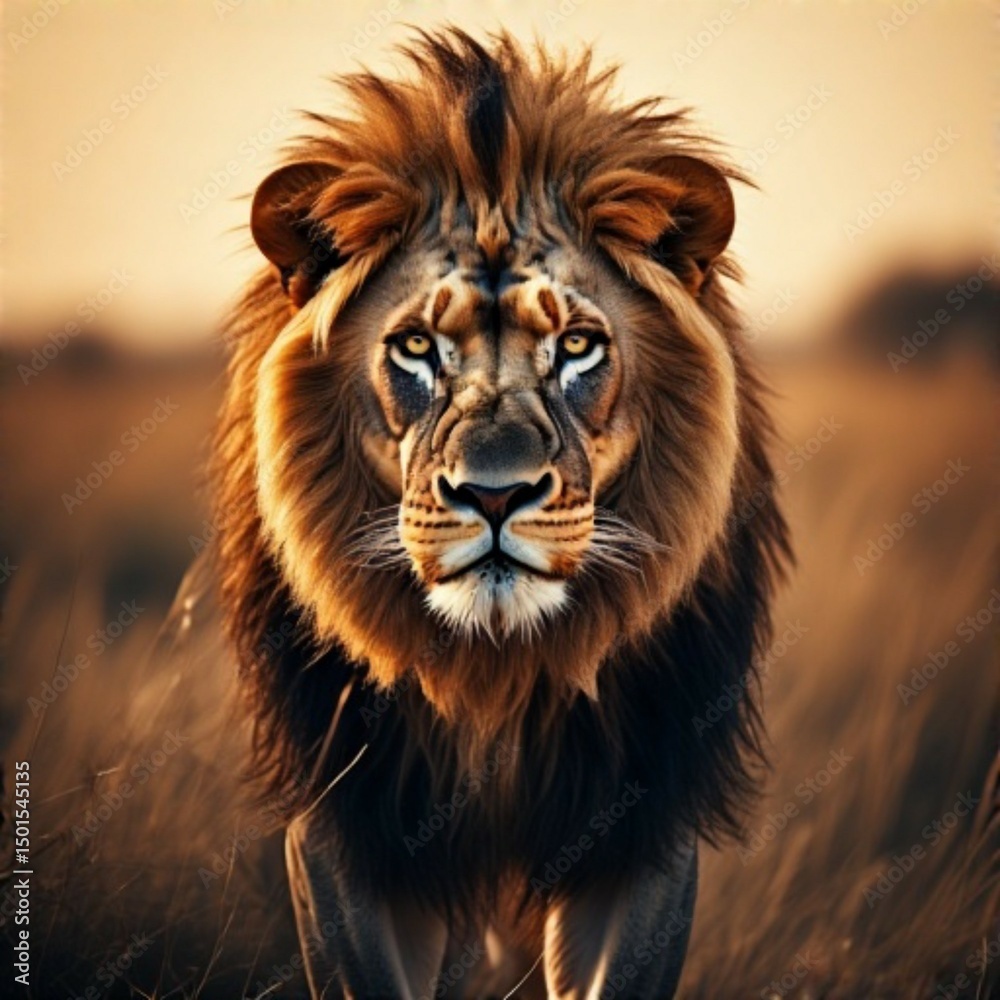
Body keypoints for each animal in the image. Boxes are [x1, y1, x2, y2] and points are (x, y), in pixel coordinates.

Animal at [212, 29, 789, 999]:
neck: (497, 671)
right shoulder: (346, 826)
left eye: (578, 345)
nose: (493, 492)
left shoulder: (644, 826)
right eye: (415, 347)